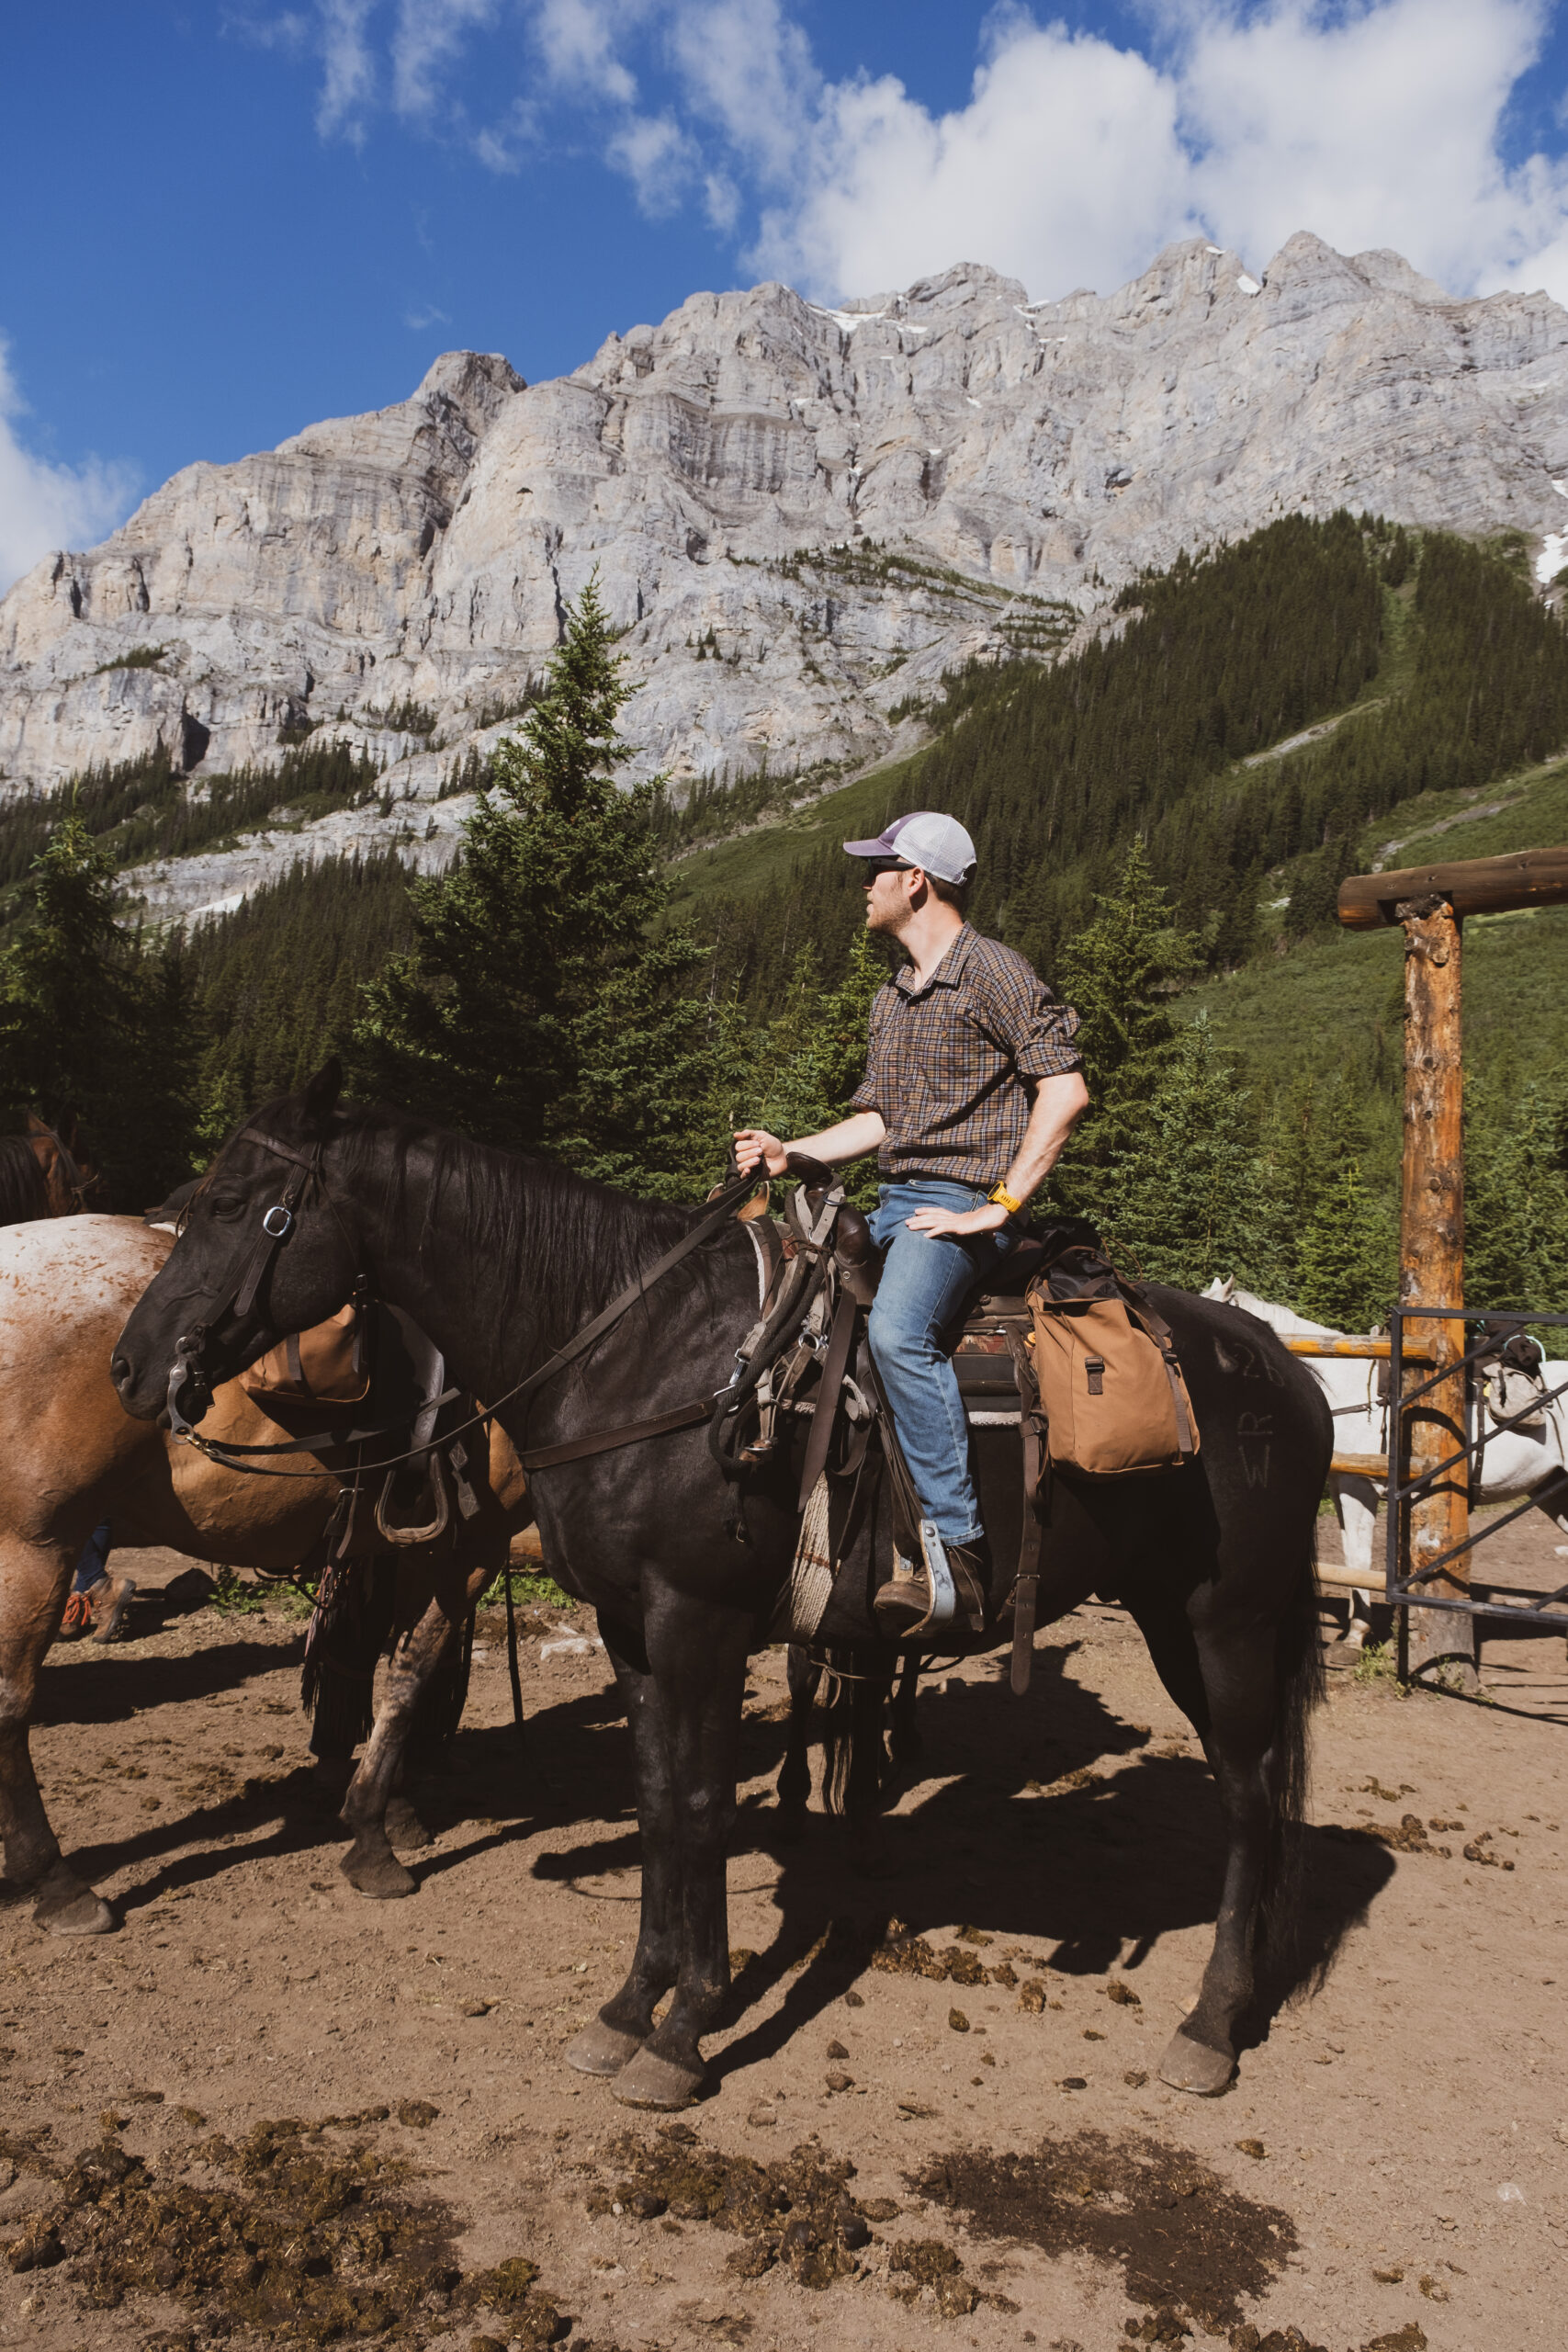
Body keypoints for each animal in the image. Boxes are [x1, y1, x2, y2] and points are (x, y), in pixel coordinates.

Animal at [0, 1204, 526, 1938]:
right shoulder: (466, 1549)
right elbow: (409, 1675)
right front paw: (372, 1839)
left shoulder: (390, 1549)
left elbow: (367, 1663)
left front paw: (390, 1810)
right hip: (36, 1545)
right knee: (10, 1705)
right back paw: (59, 1885)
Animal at [113, 1077, 1335, 2107]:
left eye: (238, 1205)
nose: (131, 1365)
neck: (639, 1359)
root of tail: (1289, 1369)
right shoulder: (629, 1626)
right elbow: (659, 1798)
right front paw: (627, 2007)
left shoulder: (696, 1623)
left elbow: (700, 1803)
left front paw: (685, 2027)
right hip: (1183, 1617)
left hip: (1223, 1624)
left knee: (1247, 1797)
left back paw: (1212, 2024)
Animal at [1213, 1279, 1561, 1646]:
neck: (1346, 1392)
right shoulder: (1341, 1485)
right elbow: (1350, 1555)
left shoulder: (1358, 1486)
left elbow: (1359, 1557)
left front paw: (1355, 1635)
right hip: (1553, 1491)